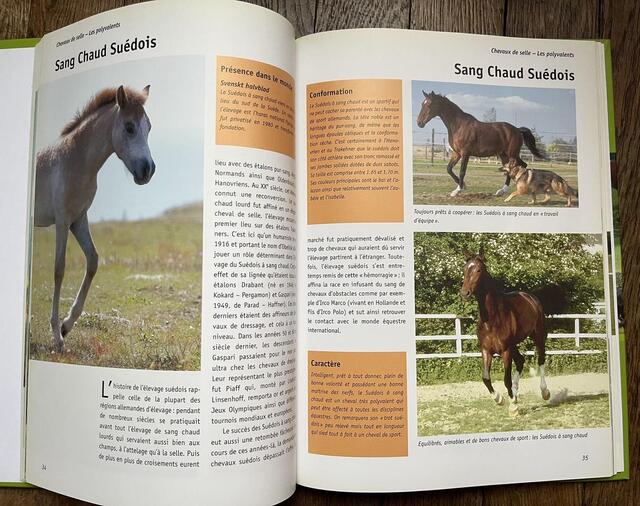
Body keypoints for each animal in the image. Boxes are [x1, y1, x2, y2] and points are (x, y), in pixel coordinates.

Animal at [34, 85, 155, 352]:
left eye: (149, 127)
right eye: (129, 127)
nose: (148, 170)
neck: (74, 160)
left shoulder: (78, 220)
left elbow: (93, 261)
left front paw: (67, 325)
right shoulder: (62, 220)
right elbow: (59, 269)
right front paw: (57, 336)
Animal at [416, 91, 547, 197]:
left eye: (429, 105)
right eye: (422, 104)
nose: (419, 123)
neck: (458, 126)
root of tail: (517, 130)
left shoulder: (465, 153)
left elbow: (462, 171)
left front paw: (457, 190)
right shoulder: (457, 153)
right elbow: (449, 169)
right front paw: (463, 185)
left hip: (512, 153)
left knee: (520, 166)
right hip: (504, 155)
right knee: (514, 168)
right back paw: (502, 191)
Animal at [460, 249, 550, 414]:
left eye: (479, 270)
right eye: (465, 269)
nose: (465, 293)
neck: (492, 320)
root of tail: (531, 298)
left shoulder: (505, 351)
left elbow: (506, 379)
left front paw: (513, 407)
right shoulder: (486, 350)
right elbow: (486, 378)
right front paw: (500, 399)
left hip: (538, 336)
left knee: (541, 360)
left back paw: (544, 392)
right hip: (514, 344)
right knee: (520, 361)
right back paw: (514, 394)